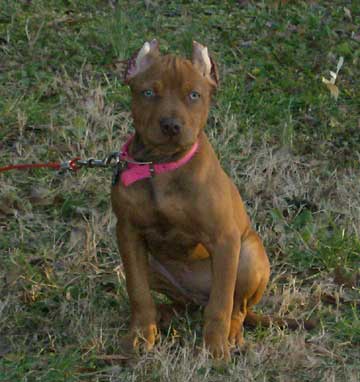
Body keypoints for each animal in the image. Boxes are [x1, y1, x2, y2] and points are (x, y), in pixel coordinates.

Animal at [112, 40, 270, 360]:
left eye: (194, 95)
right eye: (148, 92)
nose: (171, 125)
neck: (161, 166)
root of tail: (197, 294)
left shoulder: (224, 239)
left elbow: (221, 305)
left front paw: (215, 349)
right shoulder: (128, 233)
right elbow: (138, 293)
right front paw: (141, 335)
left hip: (249, 257)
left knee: (236, 307)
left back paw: (232, 334)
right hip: (148, 264)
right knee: (179, 302)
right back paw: (164, 314)